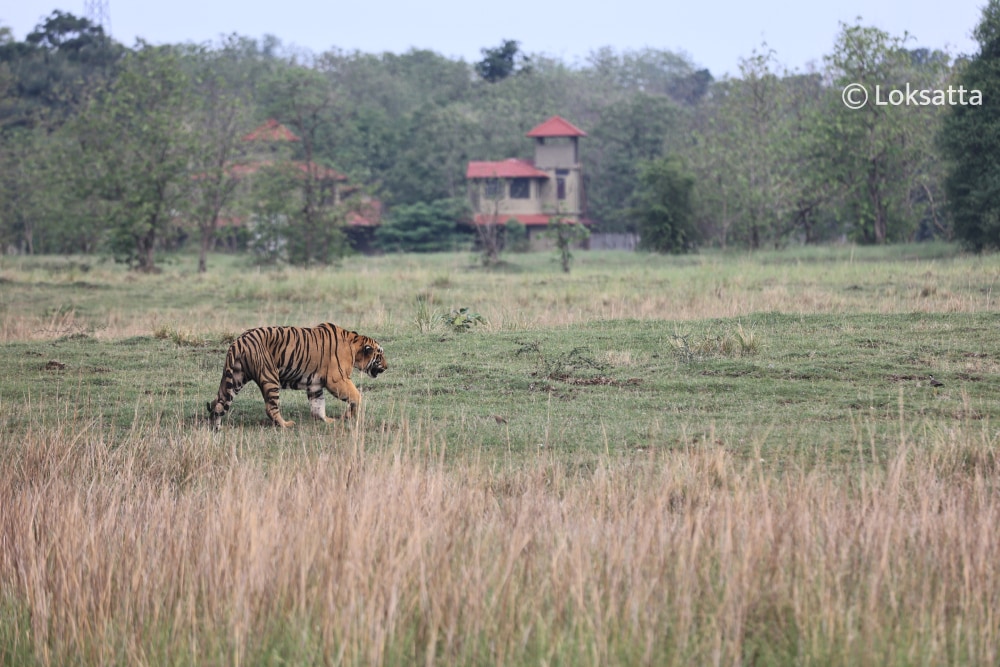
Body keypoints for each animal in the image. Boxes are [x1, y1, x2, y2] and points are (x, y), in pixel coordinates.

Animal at [207, 322, 386, 428]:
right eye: (380, 355)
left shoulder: (315, 384)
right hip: (270, 377)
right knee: (270, 407)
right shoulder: (337, 380)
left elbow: (318, 404)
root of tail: (239, 340)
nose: (386, 366)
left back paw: (216, 427)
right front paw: (349, 416)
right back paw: (286, 424)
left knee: (218, 402)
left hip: (236, 376)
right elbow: (356, 396)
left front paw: (326, 420)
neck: (354, 346)